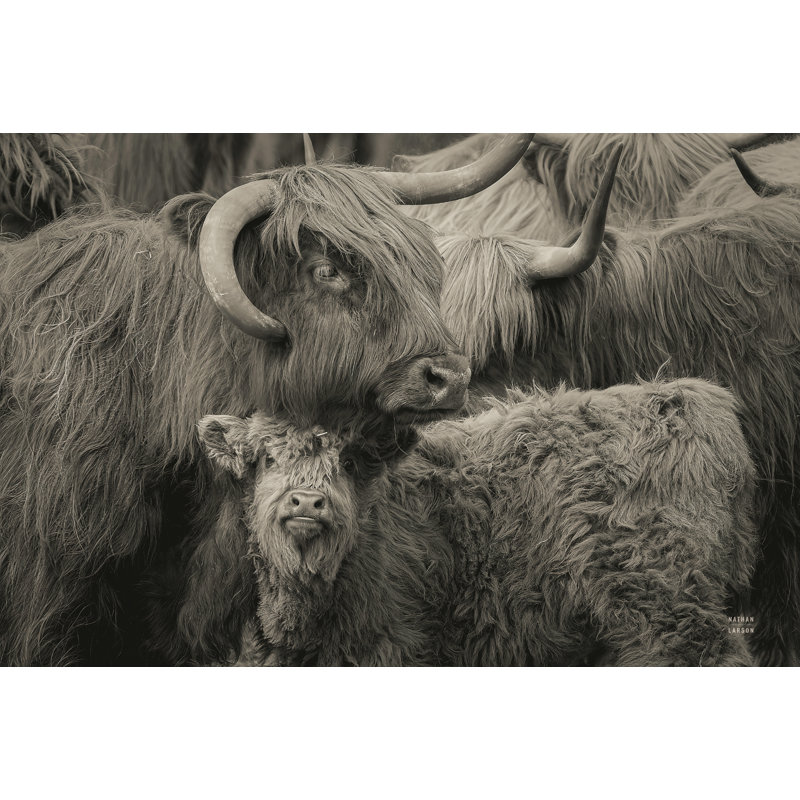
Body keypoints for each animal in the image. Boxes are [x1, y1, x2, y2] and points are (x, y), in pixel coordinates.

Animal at [193, 377, 757, 667]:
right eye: (268, 458)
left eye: (349, 463)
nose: (308, 503)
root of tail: (684, 399)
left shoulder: (396, 644)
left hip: (668, 603)